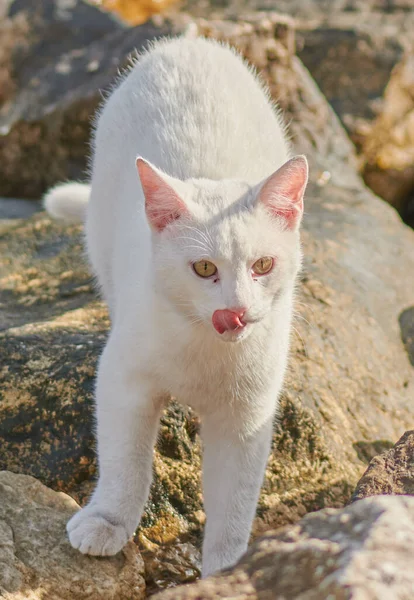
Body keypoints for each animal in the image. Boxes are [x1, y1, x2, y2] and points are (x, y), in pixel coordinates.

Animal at [43, 36, 308, 576]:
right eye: (204, 269)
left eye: (263, 264)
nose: (236, 311)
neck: (204, 350)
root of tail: (186, 42)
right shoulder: (122, 379)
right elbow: (125, 459)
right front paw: (107, 520)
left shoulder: (247, 416)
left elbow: (234, 503)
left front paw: (224, 571)